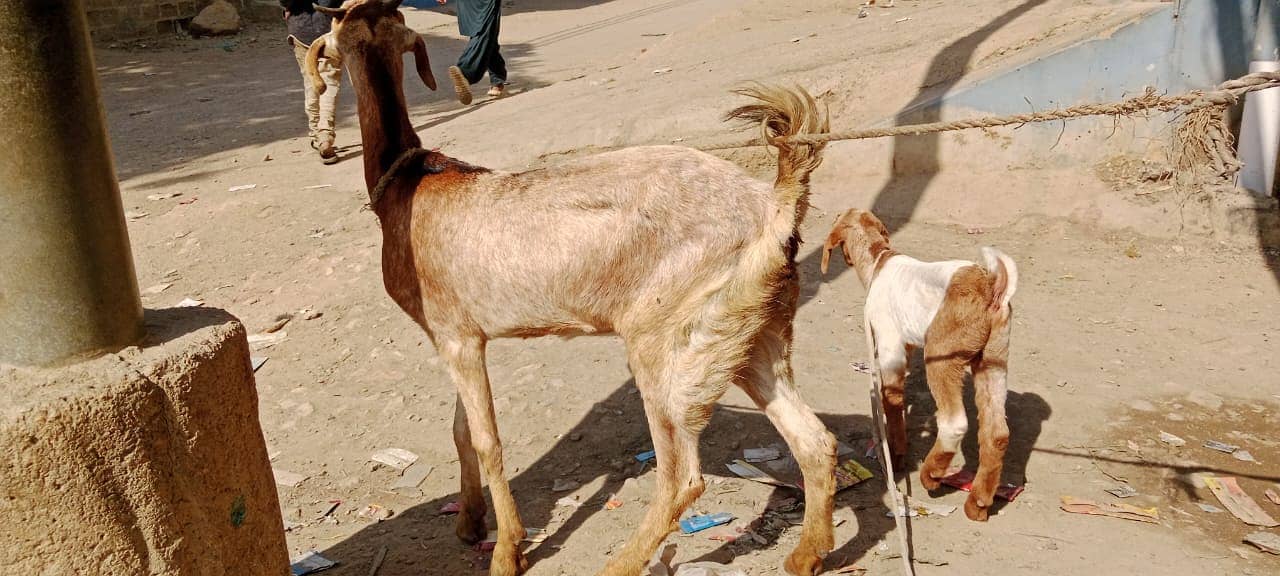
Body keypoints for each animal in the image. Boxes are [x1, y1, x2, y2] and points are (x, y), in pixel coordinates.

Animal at [311, 2, 839, 573]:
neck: (409, 184)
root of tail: (774, 205)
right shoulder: (456, 335)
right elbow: (461, 432)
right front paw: (469, 521)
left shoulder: (456, 336)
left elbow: (487, 440)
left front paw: (507, 549)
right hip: (749, 327)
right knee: (814, 441)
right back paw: (806, 553)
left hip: (666, 336)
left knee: (681, 476)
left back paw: (622, 562)